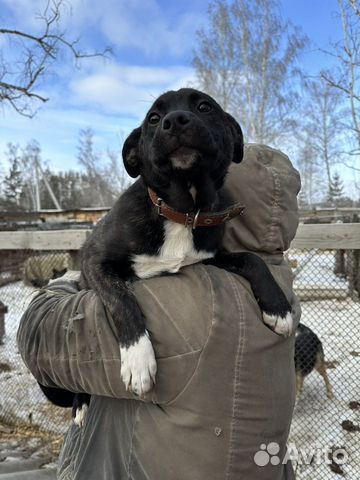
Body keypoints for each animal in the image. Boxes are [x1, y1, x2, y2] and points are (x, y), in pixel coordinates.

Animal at [39, 89, 292, 424]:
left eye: (204, 107)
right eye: (154, 119)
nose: (175, 120)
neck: (182, 210)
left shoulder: (209, 257)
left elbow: (253, 259)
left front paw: (279, 308)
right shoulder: (95, 262)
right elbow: (121, 300)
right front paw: (138, 358)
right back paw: (81, 403)